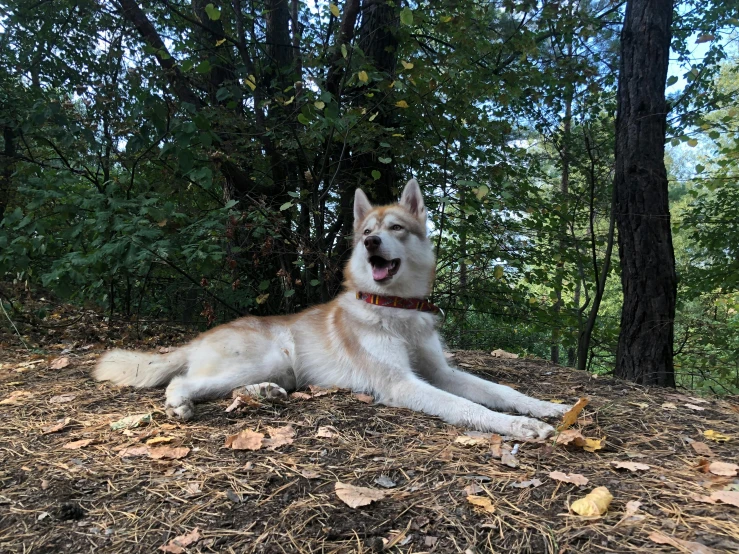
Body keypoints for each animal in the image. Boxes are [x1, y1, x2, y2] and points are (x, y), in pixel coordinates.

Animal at [92, 179, 568, 438]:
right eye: (368, 231)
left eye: (396, 228)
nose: (371, 242)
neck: (396, 309)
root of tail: (200, 337)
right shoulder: (402, 384)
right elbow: (470, 409)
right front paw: (519, 427)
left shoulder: (440, 372)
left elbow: (501, 391)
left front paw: (547, 407)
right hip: (266, 356)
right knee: (182, 382)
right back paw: (181, 404)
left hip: (278, 369)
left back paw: (265, 394)